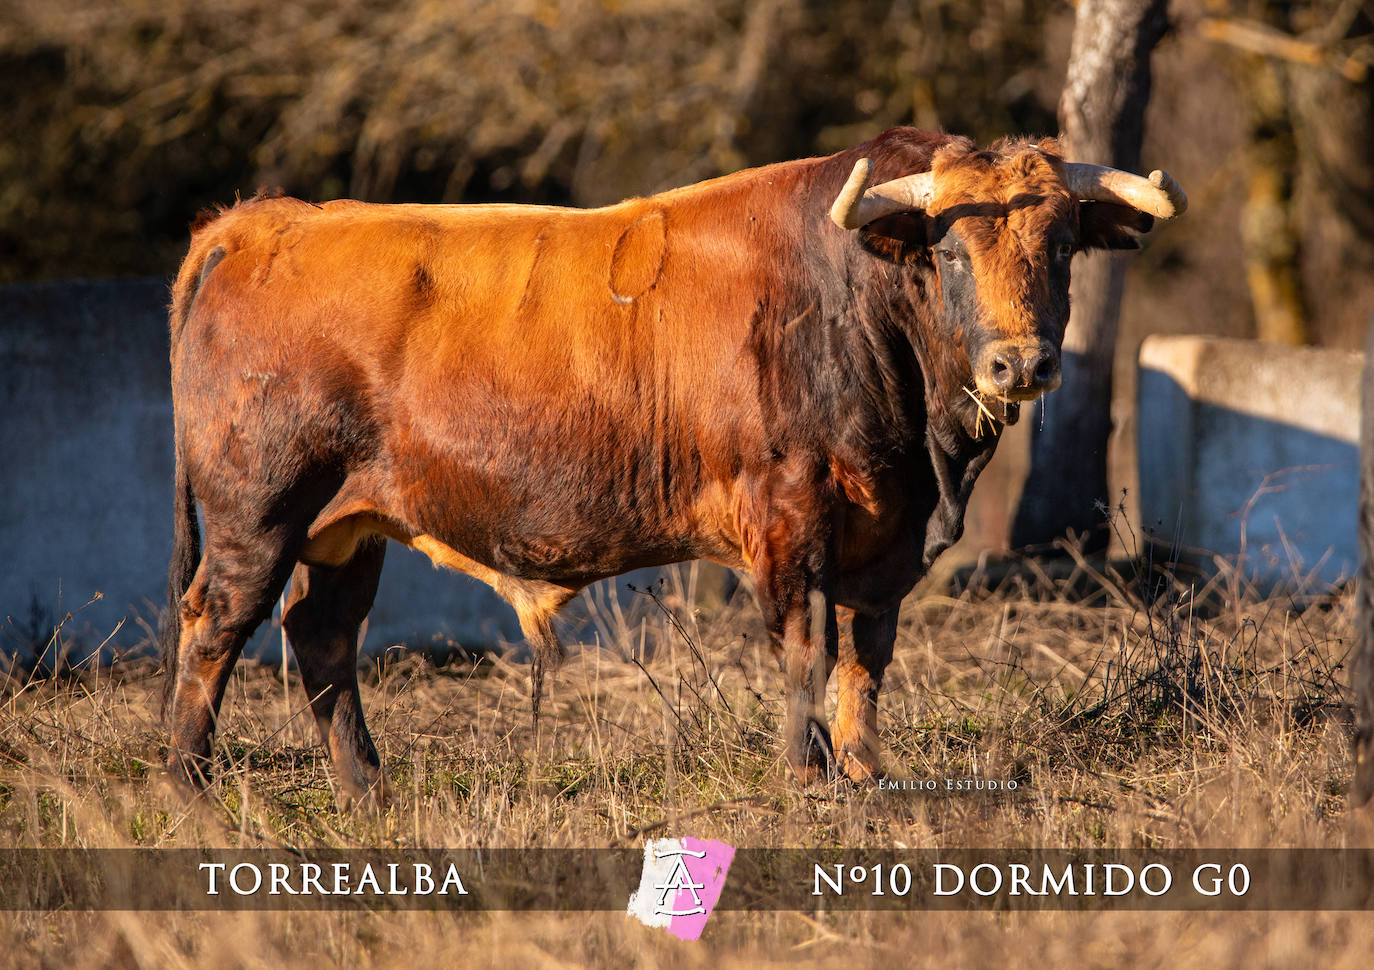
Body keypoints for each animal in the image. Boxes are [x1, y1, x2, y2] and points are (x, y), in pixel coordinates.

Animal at [155, 125, 1181, 796]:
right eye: (953, 251)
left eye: (1062, 245)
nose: (1021, 364)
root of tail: (263, 221)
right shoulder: (788, 515)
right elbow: (803, 648)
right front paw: (808, 776)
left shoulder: (884, 537)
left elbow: (865, 657)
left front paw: (862, 771)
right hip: (259, 511)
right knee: (214, 625)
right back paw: (188, 785)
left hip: (349, 525)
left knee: (322, 633)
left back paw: (366, 788)